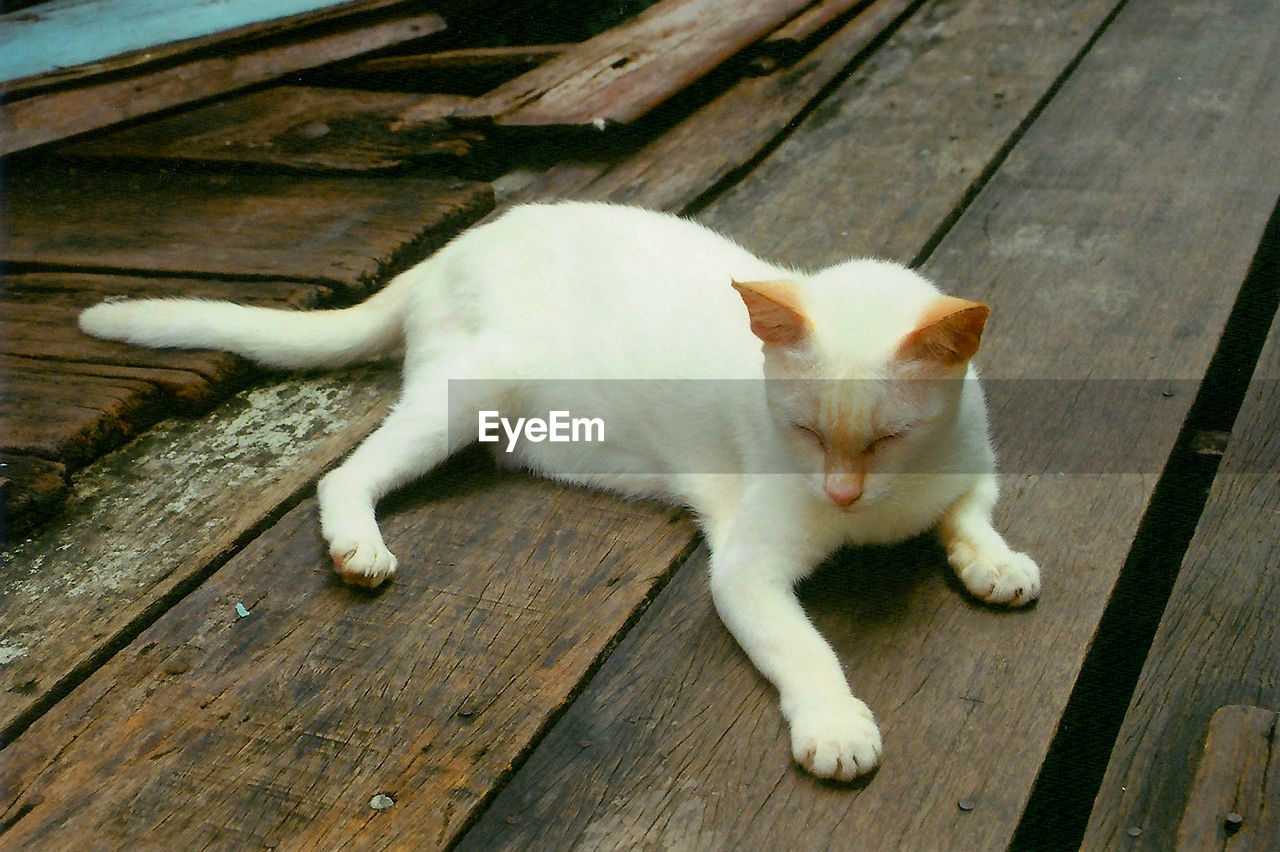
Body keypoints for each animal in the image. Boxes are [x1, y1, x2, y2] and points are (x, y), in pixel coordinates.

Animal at [77, 199, 1039, 777]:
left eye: (889, 438)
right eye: (802, 428)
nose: (839, 495)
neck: (880, 512)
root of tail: (450, 251)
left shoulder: (971, 464)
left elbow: (972, 515)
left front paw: (993, 564)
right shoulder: (745, 568)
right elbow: (805, 647)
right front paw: (835, 724)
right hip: (473, 386)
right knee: (348, 474)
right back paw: (358, 544)